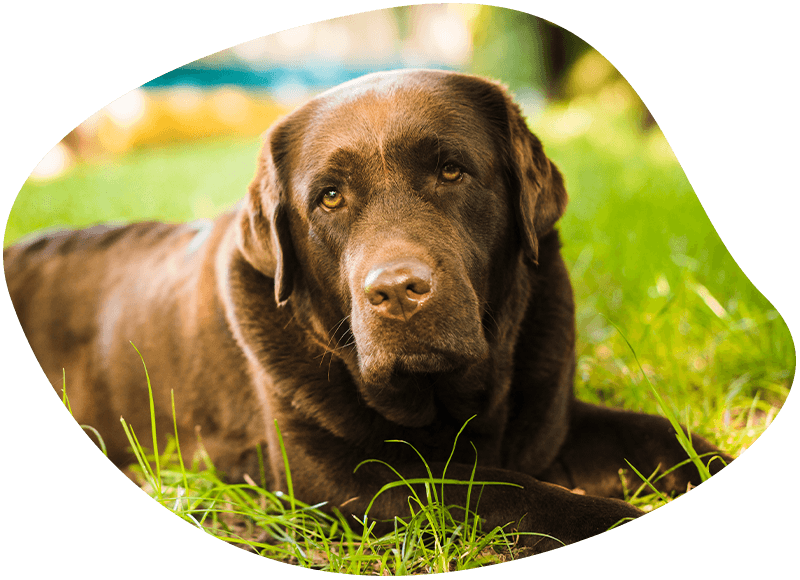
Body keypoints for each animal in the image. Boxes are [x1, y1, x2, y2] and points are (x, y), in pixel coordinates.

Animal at [4, 68, 732, 552]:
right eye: (329, 197)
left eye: (452, 171)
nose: (396, 291)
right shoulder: (355, 480)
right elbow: (507, 491)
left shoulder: (555, 422)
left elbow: (663, 437)